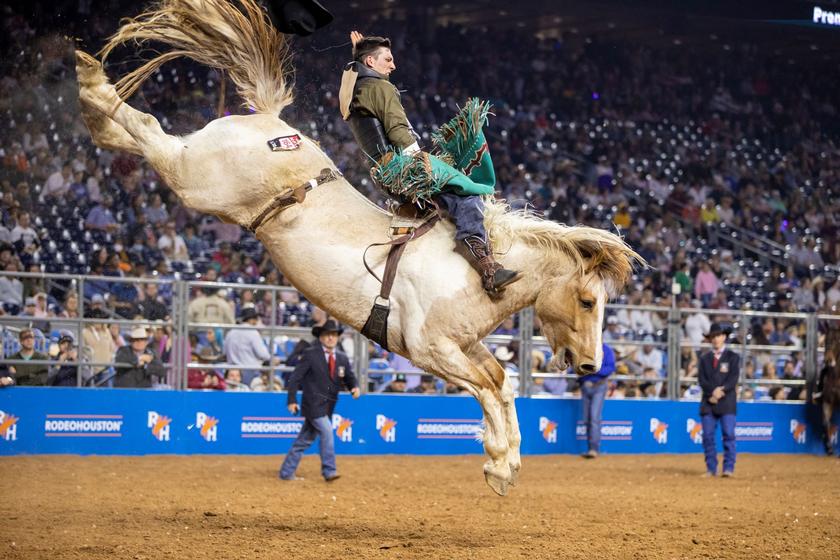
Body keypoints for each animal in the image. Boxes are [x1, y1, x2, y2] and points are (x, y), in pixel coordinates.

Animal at [75, 0, 640, 494]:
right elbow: (485, 387)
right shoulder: (430, 348)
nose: (591, 366)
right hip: (199, 181)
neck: (477, 268)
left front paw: (506, 465)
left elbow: (501, 382)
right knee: (150, 130)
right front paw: (499, 462)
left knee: (137, 136)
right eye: (587, 301)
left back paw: (93, 105)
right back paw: (91, 82)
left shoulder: (467, 343)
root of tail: (269, 121)